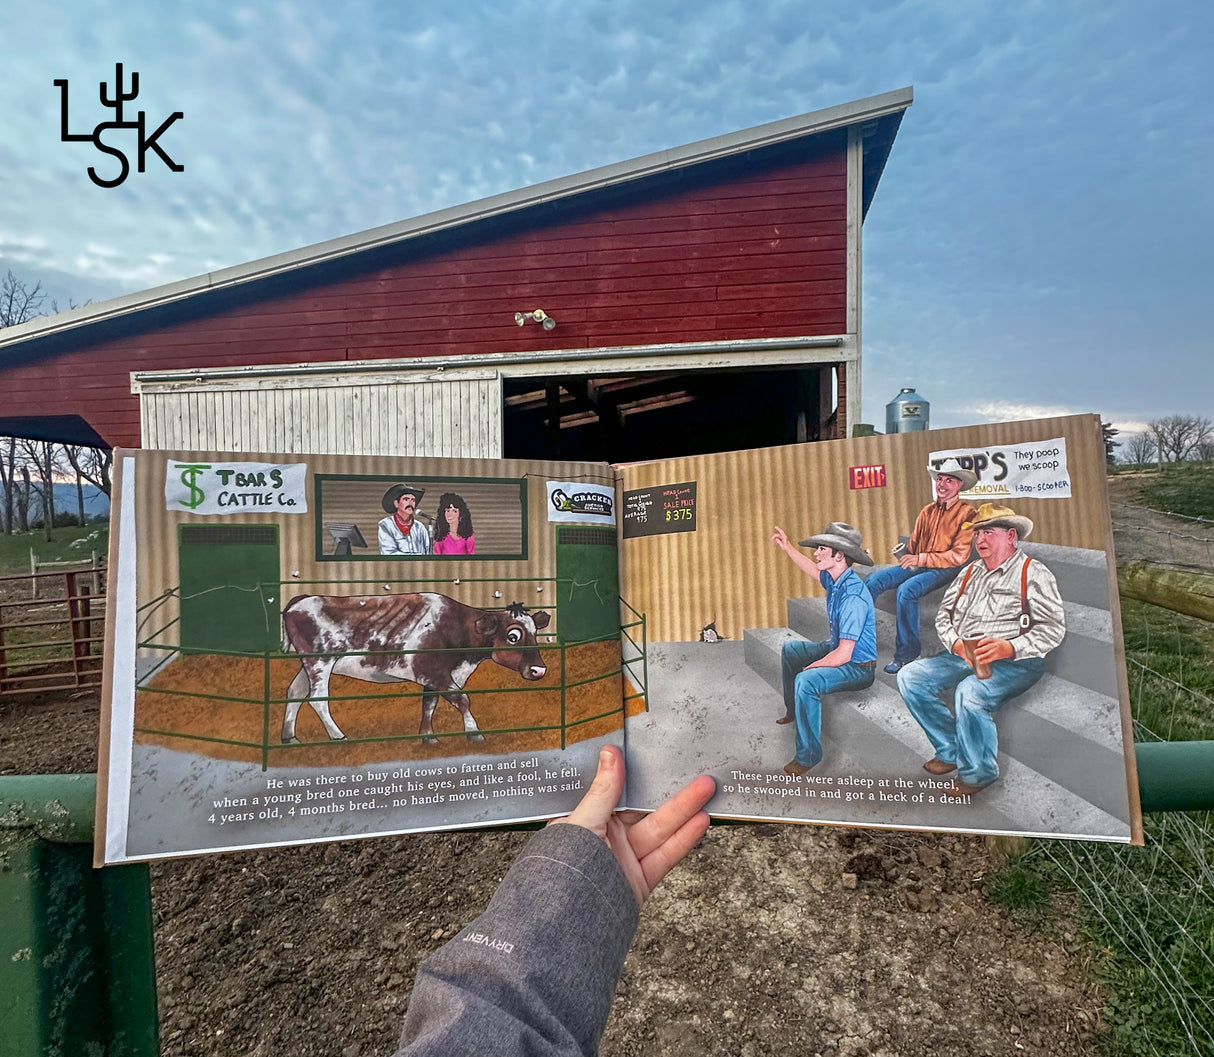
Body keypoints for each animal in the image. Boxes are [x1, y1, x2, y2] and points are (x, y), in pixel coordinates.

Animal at [279, 594, 551, 742]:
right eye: (513, 636)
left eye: (535, 632)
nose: (539, 670)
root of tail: (301, 600)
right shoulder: (433, 671)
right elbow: (462, 700)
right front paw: (474, 734)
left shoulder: (433, 677)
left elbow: (429, 704)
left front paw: (428, 737)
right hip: (320, 662)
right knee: (317, 699)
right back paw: (339, 736)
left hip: (308, 665)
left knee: (294, 692)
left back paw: (289, 737)